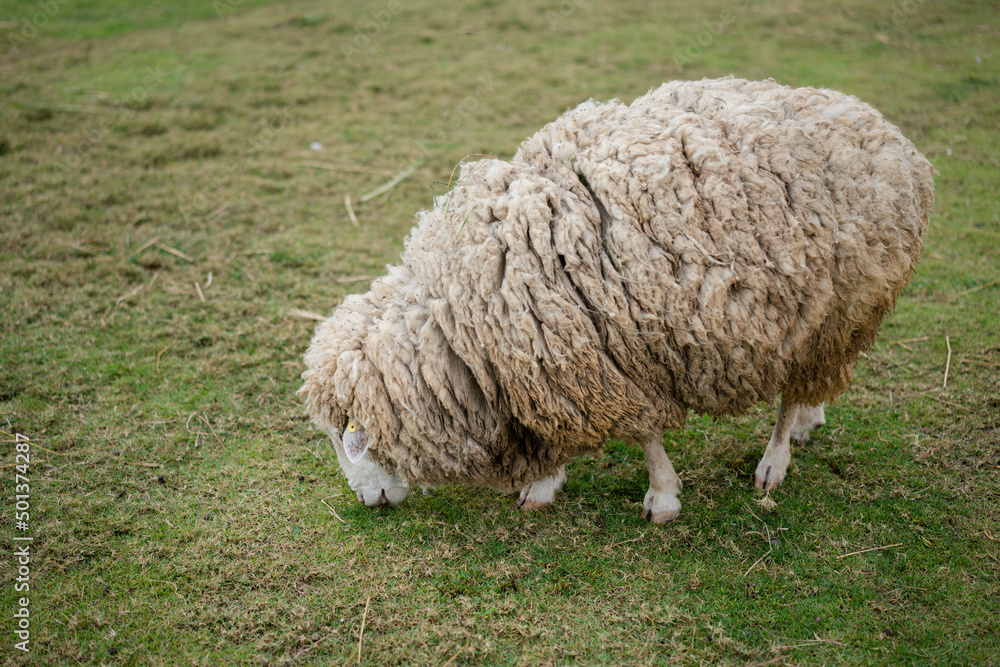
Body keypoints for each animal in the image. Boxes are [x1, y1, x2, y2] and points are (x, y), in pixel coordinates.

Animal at [300, 76, 935, 522]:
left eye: (348, 436)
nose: (369, 503)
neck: (461, 322)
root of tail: (890, 135)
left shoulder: (608, 356)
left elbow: (644, 435)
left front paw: (662, 497)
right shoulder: (556, 364)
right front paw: (545, 483)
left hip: (842, 310)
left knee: (792, 396)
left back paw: (773, 463)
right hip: (815, 317)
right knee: (805, 384)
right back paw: (809, 418)